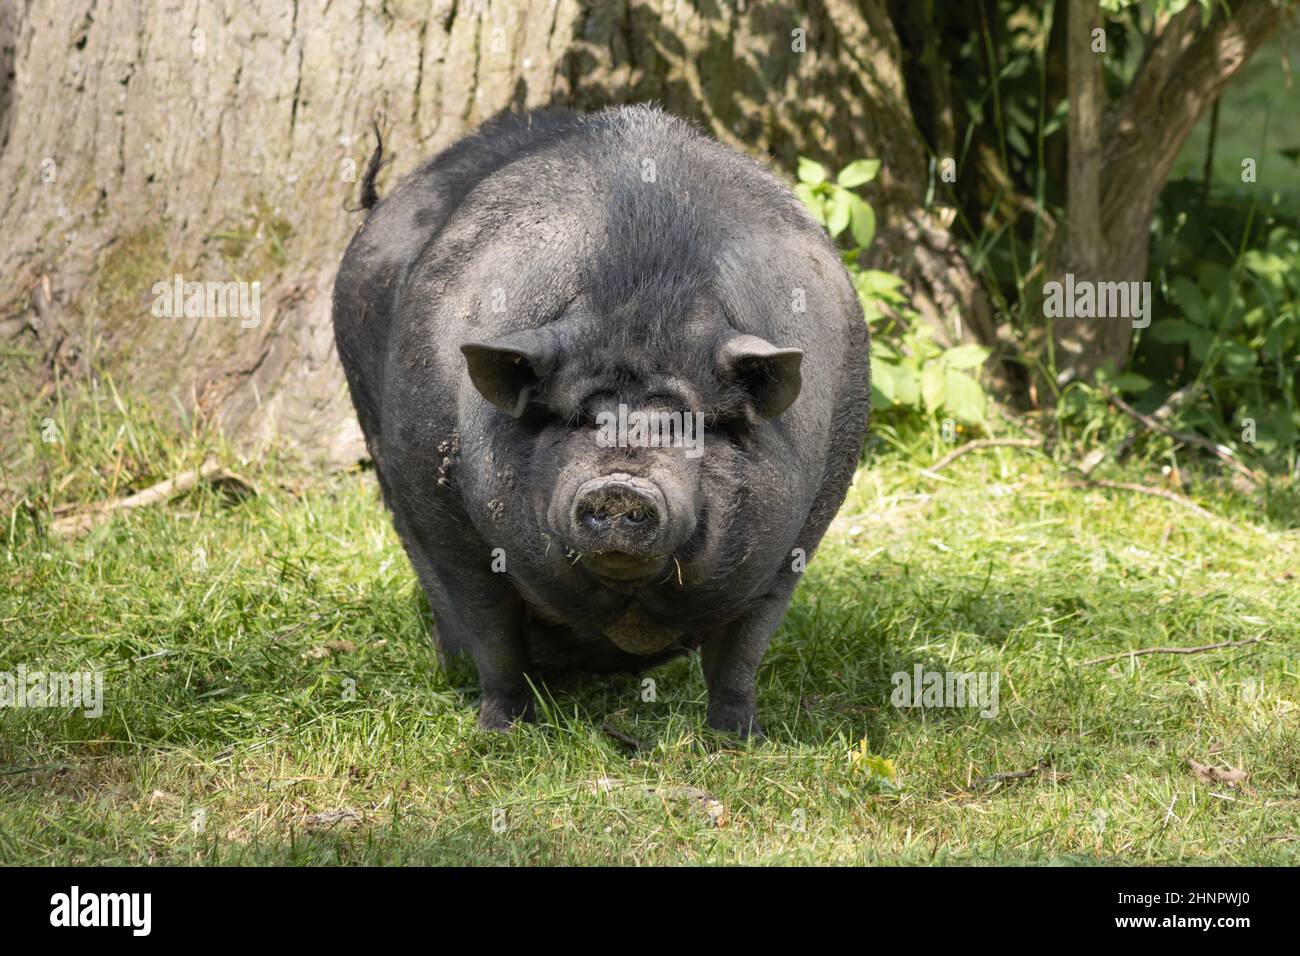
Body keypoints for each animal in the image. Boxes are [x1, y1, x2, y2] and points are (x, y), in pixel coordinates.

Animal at [332, 105, 869, 736]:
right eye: (576, 417)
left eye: (686, 424)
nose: (619, 486)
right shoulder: (449, 524)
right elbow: (492, 632)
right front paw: (500, 733)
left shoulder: (799, 536)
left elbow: (743, 648)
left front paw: (736, 740)